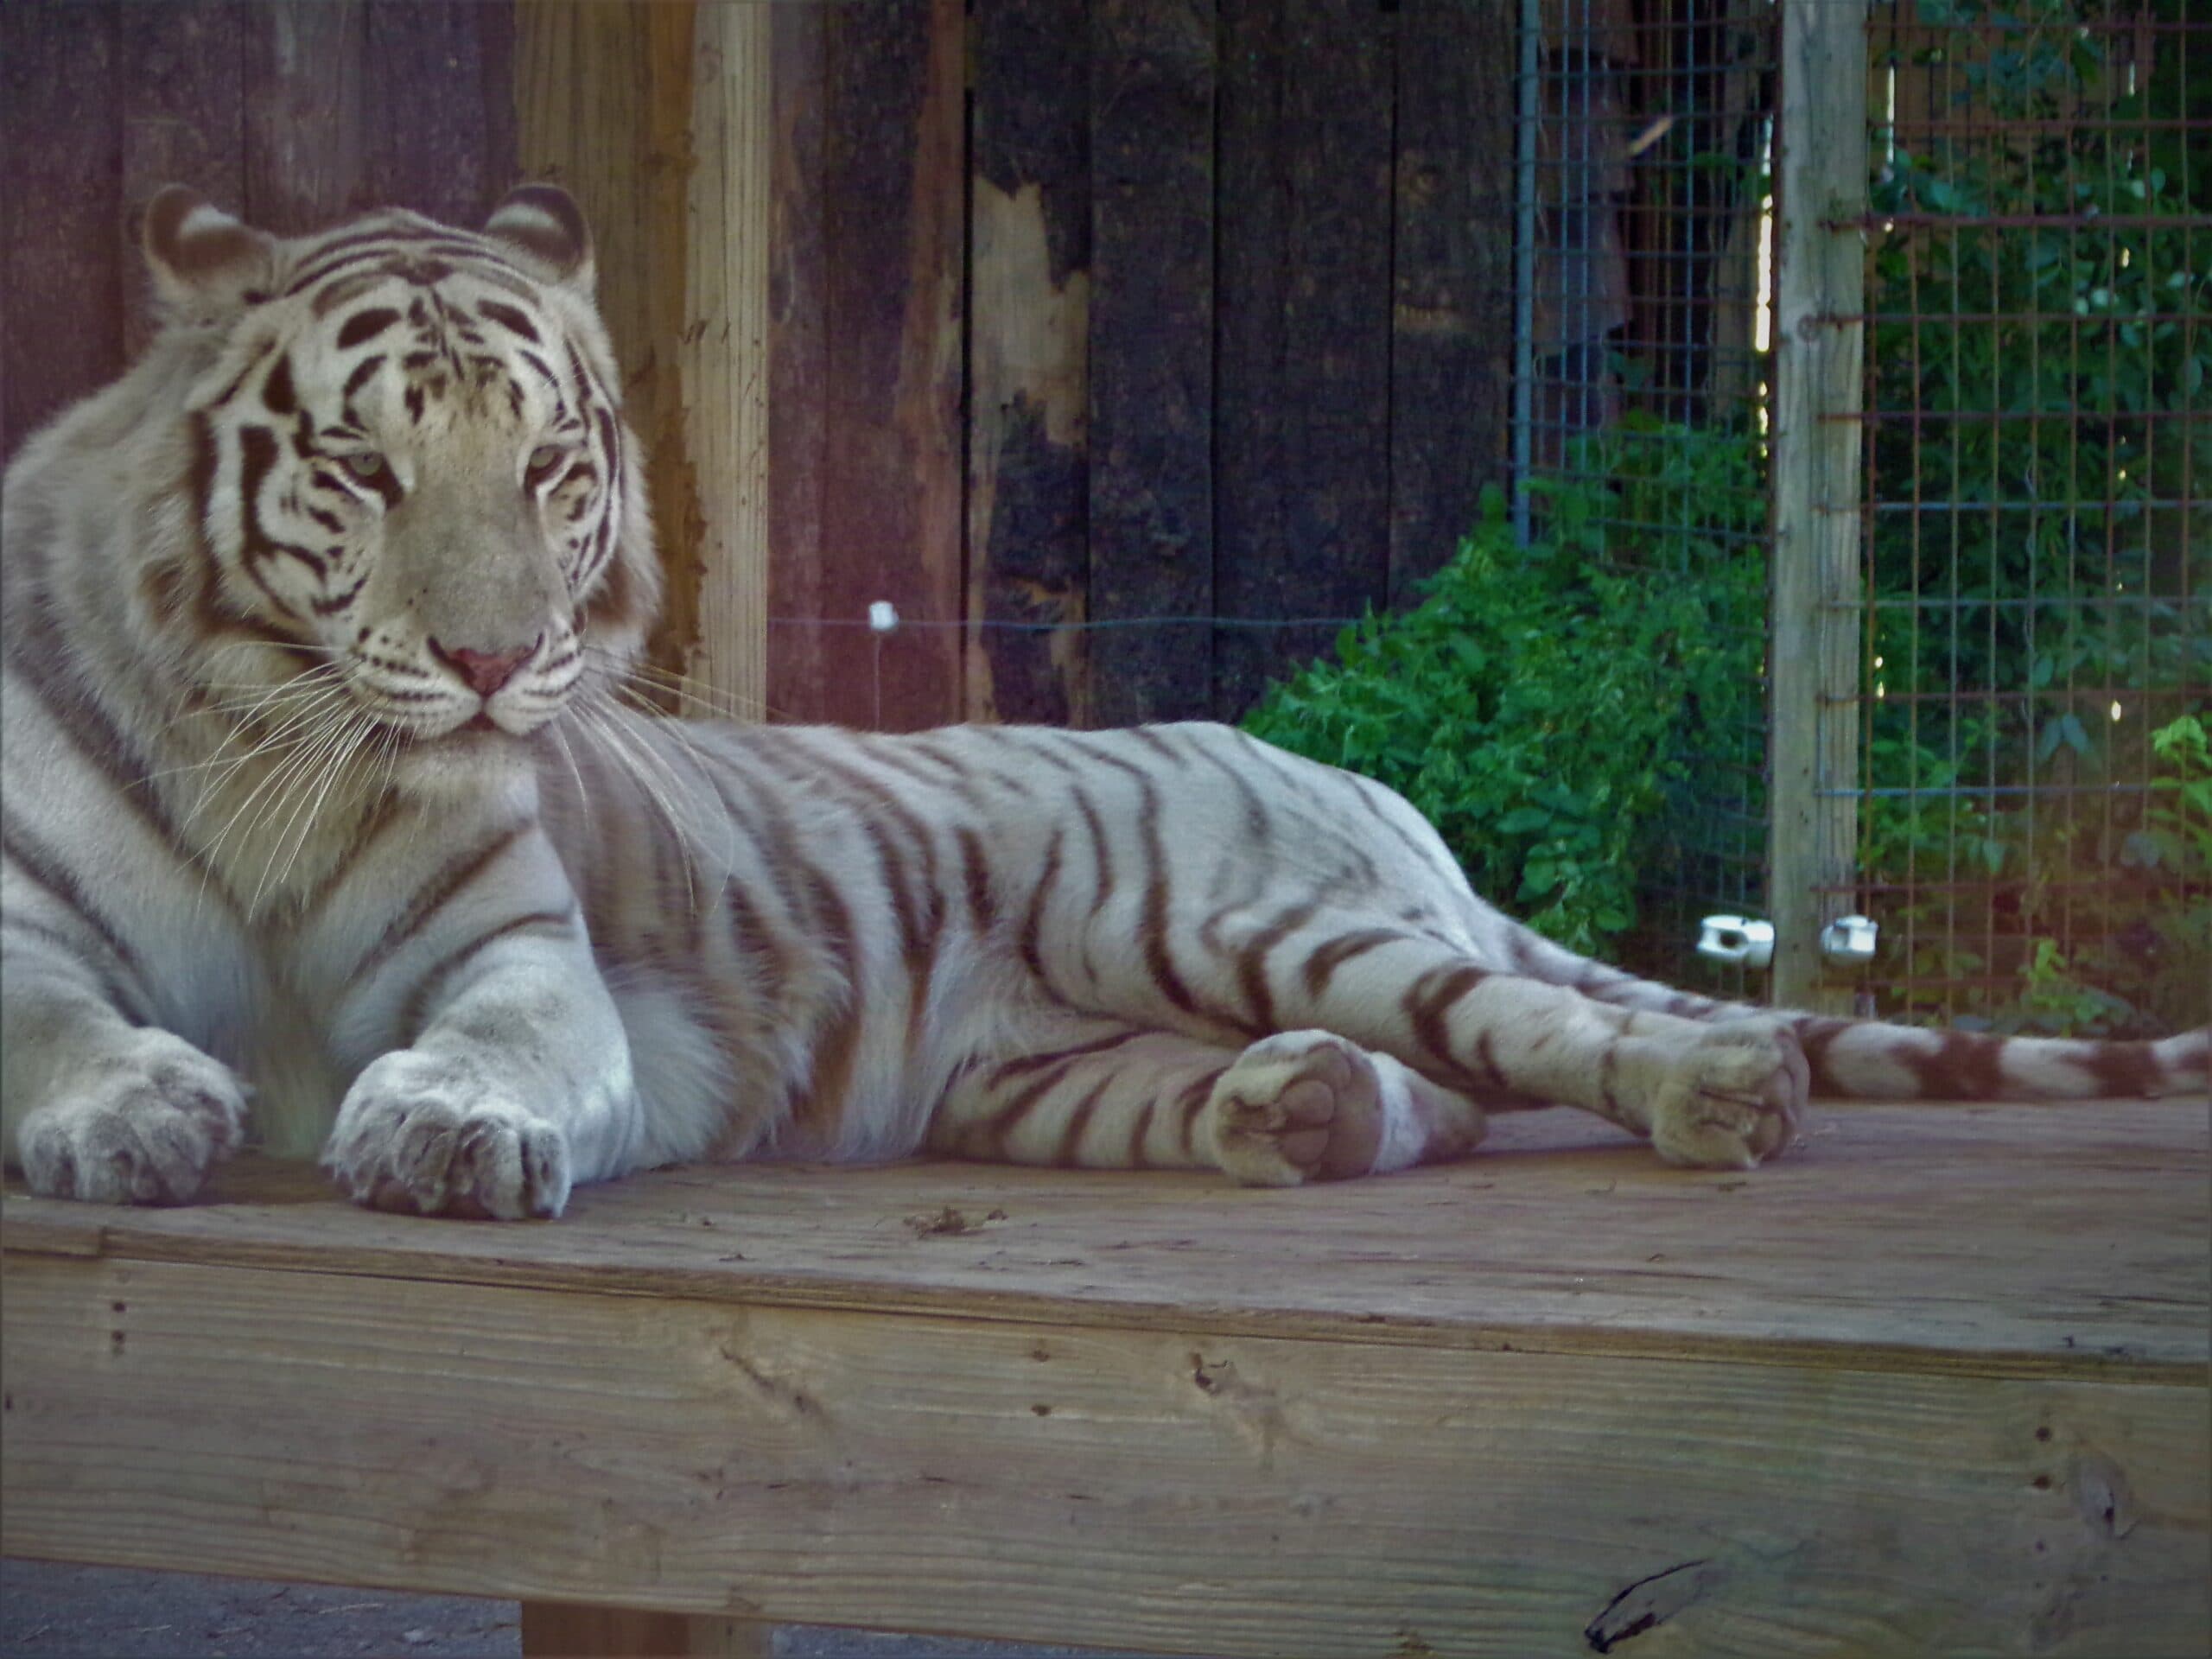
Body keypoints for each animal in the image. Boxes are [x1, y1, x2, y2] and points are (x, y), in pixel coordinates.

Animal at [2, 186, 2203, 1219]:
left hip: (1220, 913)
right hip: (1039, 1066)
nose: (487, 660)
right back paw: (1296, 1110)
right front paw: (137, 1111)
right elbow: (56, 1022)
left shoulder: (522, 957)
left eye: (551, 467)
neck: (272, 756)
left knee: (1532, 1034)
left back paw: (1716, 1093)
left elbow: (496, 1042)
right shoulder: (21, 928)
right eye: (362, 468)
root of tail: (1354, 782)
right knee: (1430, 1098)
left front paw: (441, 1129)